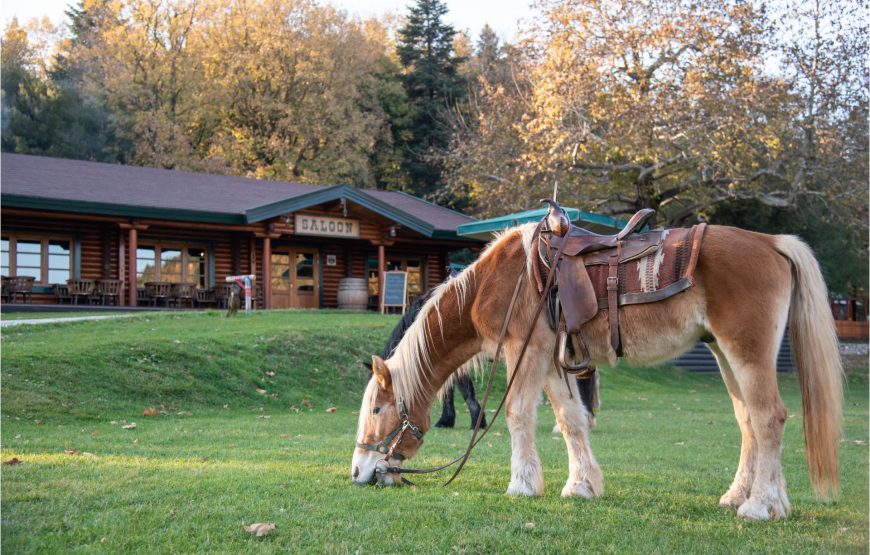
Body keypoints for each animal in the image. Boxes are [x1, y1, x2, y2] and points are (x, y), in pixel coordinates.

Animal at [352, 222, 844, 520]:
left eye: (377, 410)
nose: (358, 472)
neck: (498, 282)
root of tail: (771, 242)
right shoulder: (553, 362)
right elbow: (571, 420)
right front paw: (581, 485)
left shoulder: (525, 351)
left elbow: (516, 415)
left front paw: (522, 484)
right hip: (725, 354)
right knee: (748, 423)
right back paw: (748, 495)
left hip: (746, 352)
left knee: (769, 417)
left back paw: (760, 505)